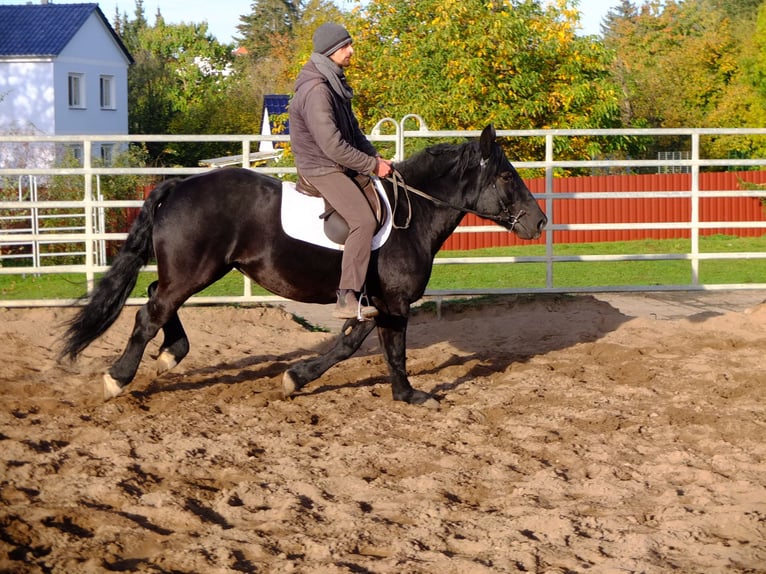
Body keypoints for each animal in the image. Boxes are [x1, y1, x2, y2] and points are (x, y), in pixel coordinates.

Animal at [63, 126, 548, 408]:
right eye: (506, 177)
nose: (540, 221)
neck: (413, 214)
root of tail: (179, 186)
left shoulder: (372, 302)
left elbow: (351, 343)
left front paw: (296, 378)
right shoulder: (393, 302)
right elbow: (391, 349)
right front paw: (409, 395)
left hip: (190, 273)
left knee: (157, 302)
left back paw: (170, 354)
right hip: (193, 272)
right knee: (151, 312)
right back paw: (118, 379)